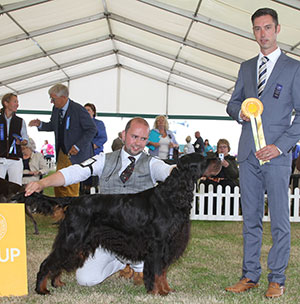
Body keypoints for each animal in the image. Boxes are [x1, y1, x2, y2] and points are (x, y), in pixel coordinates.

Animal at [14, 153, 220, 296]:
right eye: (203, 159)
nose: (219, 158)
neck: (172, 195)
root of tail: (73, 201)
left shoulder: (166, 245)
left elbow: (162, 271)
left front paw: (166, 290)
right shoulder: (158, 244)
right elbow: (156, 271)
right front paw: (158, 292)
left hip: (77, 244)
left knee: (59, 262)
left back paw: (57, 283)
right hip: (72, 239)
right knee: (49, 262)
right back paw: (41, 289)